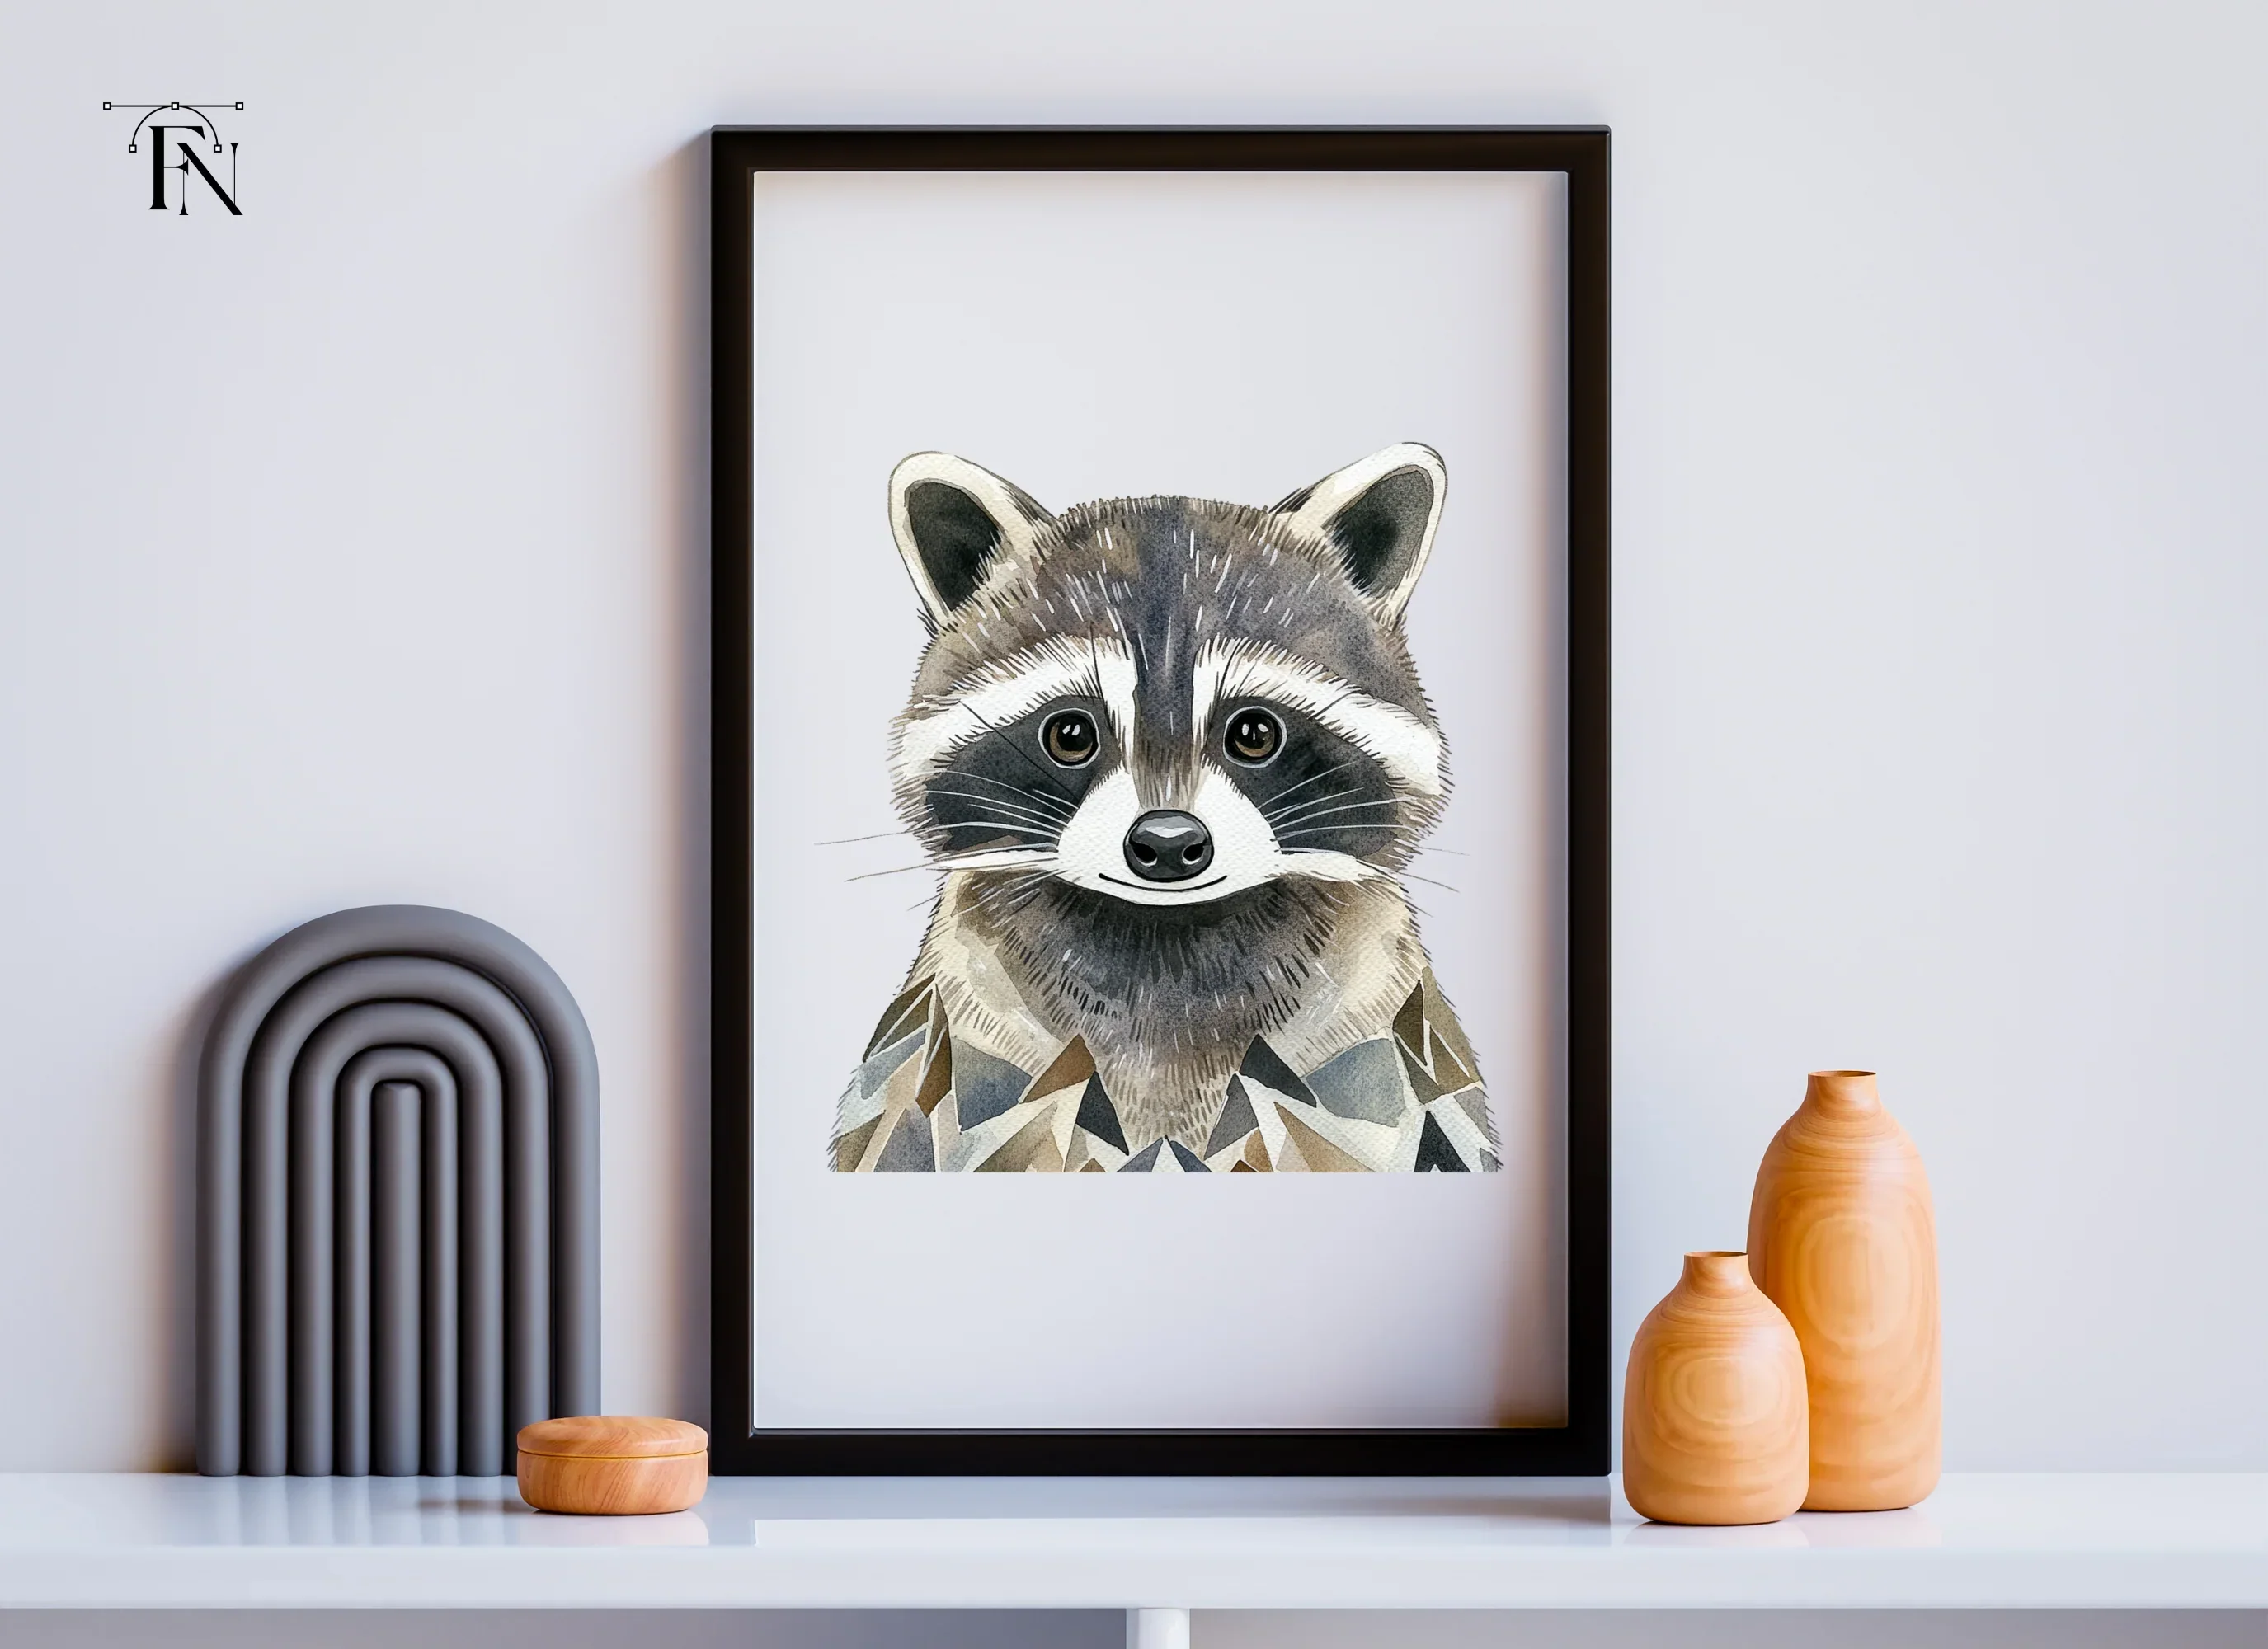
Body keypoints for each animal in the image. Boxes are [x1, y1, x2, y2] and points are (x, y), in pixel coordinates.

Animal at [831, 444, 1501, 1175]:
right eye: (1070, 733)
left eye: (1254, 733)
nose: (1170, 843)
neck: (1166, 940)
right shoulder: (954, 1059)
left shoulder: (1385, 1062)